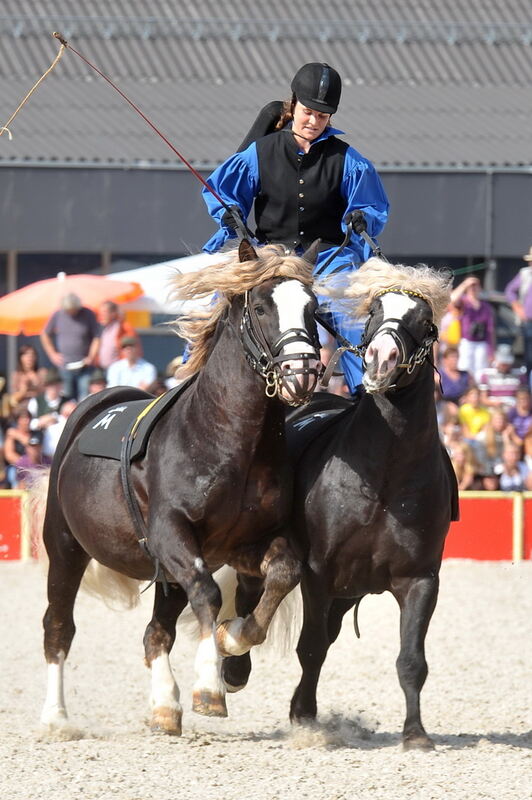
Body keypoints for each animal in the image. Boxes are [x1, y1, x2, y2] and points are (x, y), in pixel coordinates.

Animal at [39, 241, 322, 736]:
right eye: (262, 307)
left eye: (313, 308)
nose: (301, 372)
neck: (227, 442)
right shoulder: (172, 534)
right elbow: (208, 595)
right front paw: (209, 686)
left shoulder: (241, 544)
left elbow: (282, 575)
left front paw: (232, 641)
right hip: (66, 548)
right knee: (58, 626)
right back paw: (56, 718)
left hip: (165, 574)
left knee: (156, 632)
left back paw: (165, 708)